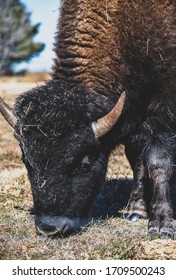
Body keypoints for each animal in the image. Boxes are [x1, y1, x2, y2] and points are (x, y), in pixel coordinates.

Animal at [0, 0, 176, 238]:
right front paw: (135, 210)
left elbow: (158, 162)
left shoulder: (164, 109)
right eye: (27, 162)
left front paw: (161, 224)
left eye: (84, 165)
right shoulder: (133, 119)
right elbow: (137, 160)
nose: (49, 227)